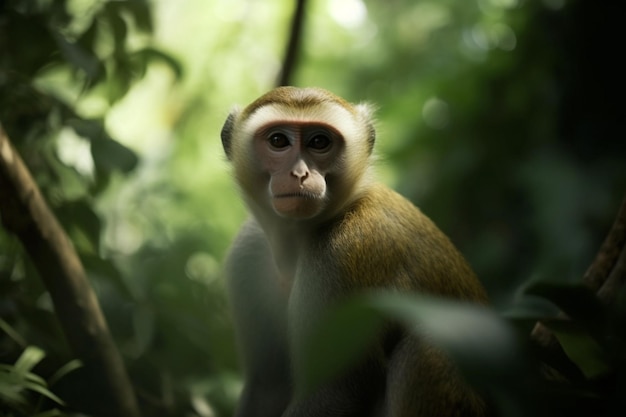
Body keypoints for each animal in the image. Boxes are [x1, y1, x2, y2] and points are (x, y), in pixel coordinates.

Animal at [219, 86, 488, 414]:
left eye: (319, 142)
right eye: (278, 141)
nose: (299, 174)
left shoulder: (341, 254)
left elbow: (340, 388)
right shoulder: (248, 252)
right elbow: (267, 387)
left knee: (425, 349)